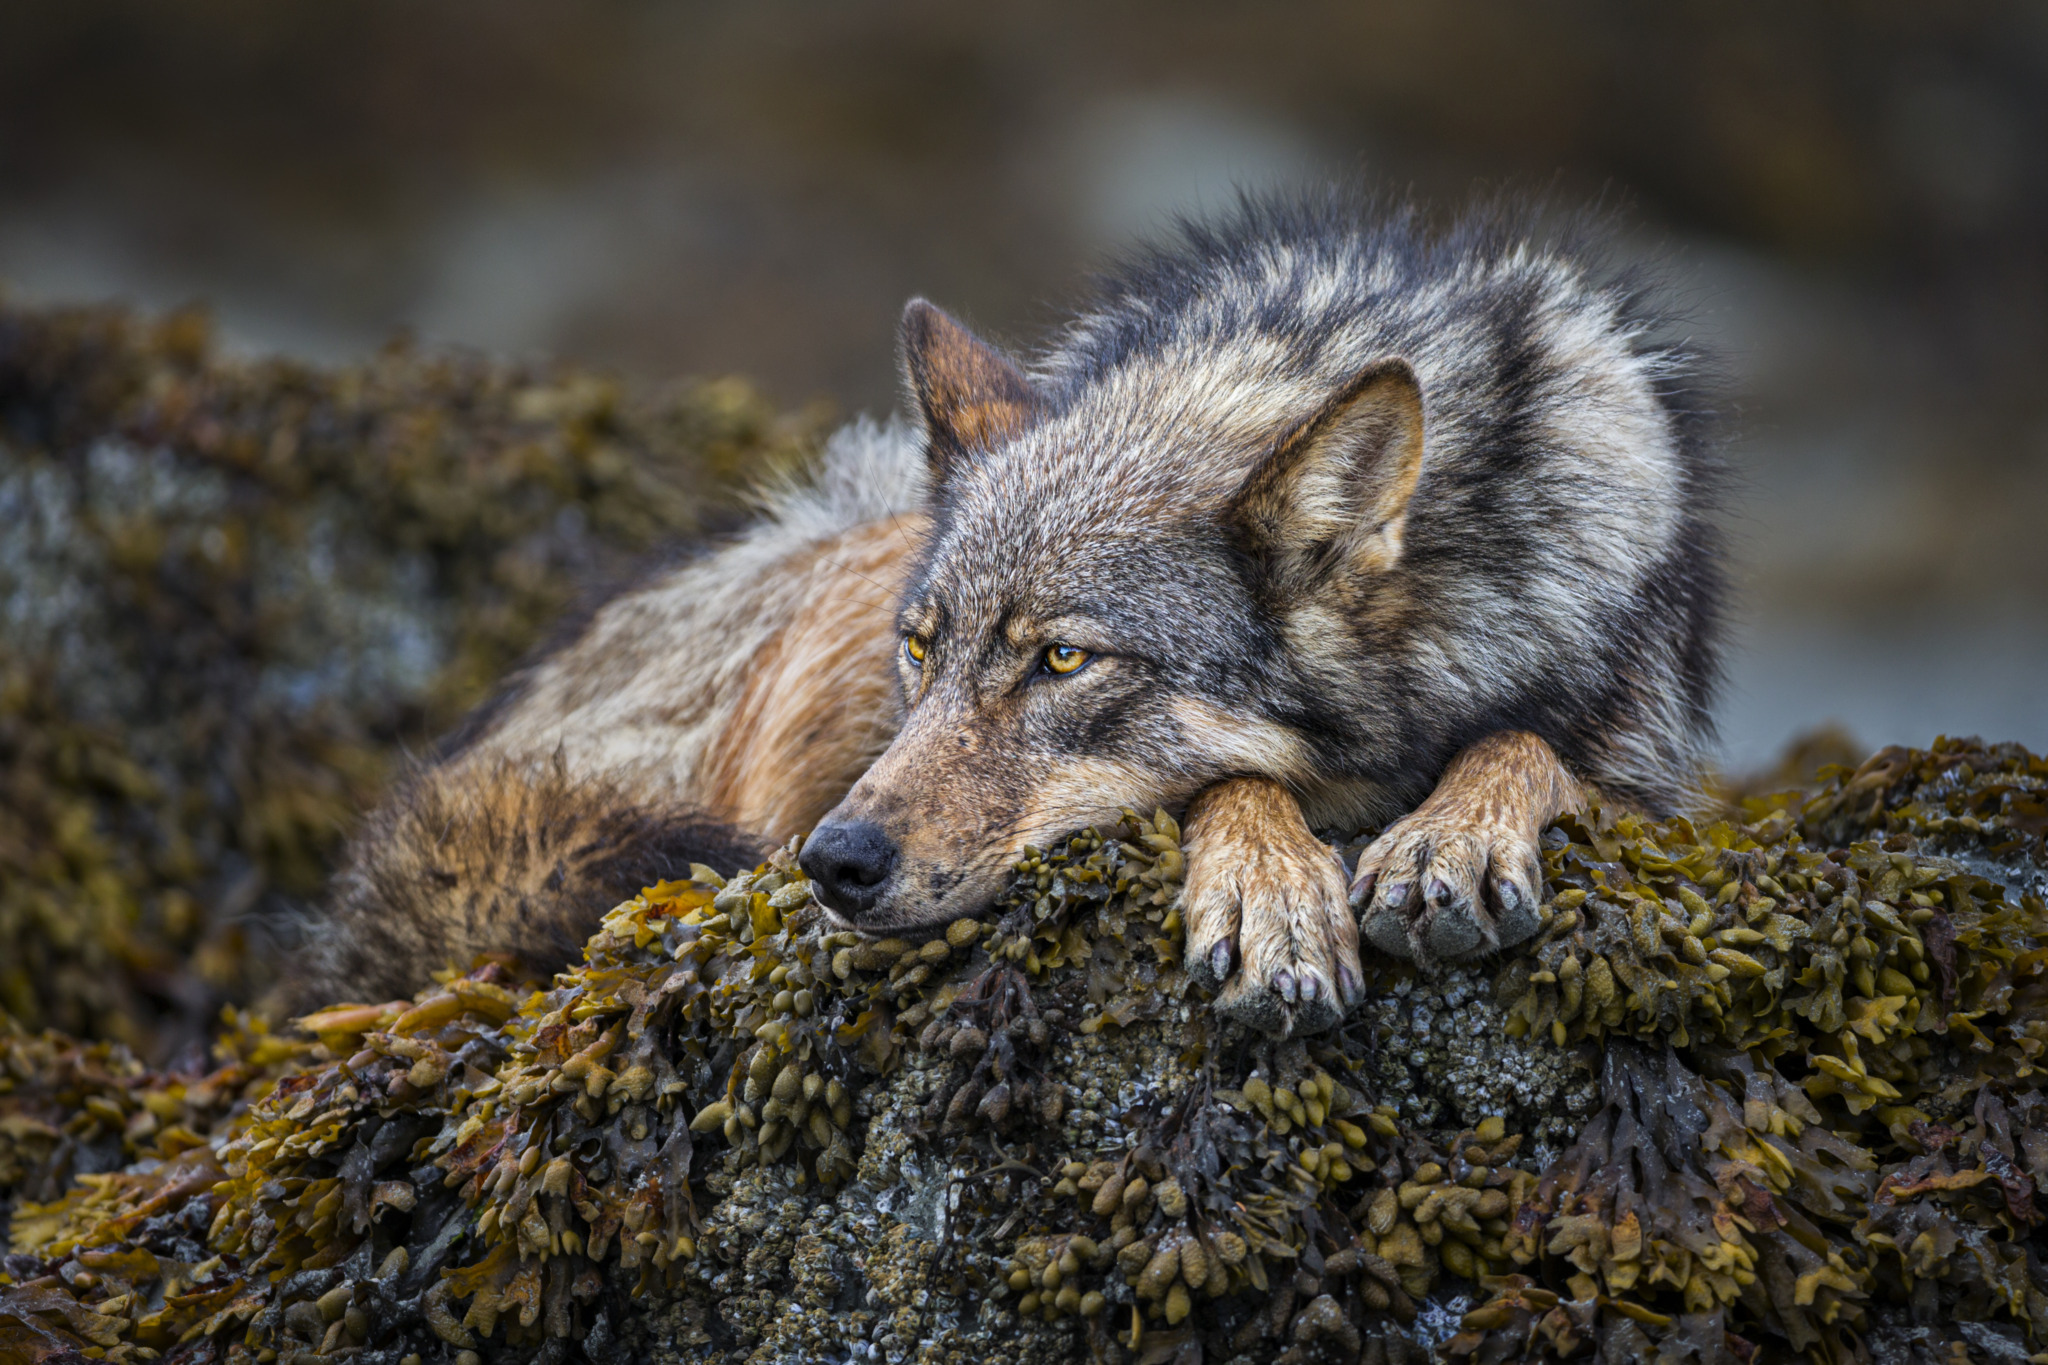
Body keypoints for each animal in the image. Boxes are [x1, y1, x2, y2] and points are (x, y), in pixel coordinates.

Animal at [292, 191, 1722, 1038]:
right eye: (922, 652)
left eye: (1061, 660)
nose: (835, 863)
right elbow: (1232, 781)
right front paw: (1271, 891)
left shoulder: (1645, 767)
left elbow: (1528, 748)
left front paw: (1448, 836)